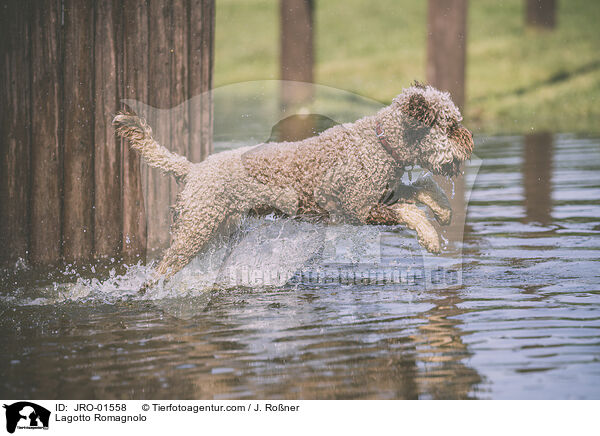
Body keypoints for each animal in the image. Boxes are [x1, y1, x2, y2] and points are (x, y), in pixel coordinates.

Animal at [115, 83, 474, 292]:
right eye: (450, 125)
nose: (469, 140)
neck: (379, 144)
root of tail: (192, 169)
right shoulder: (360, 208)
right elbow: (410, 211)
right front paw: (430, 237)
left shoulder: (385, 192)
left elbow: (422, 186)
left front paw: (443, 211)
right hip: (194, 231)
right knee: (160, 271)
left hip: (216, 232)